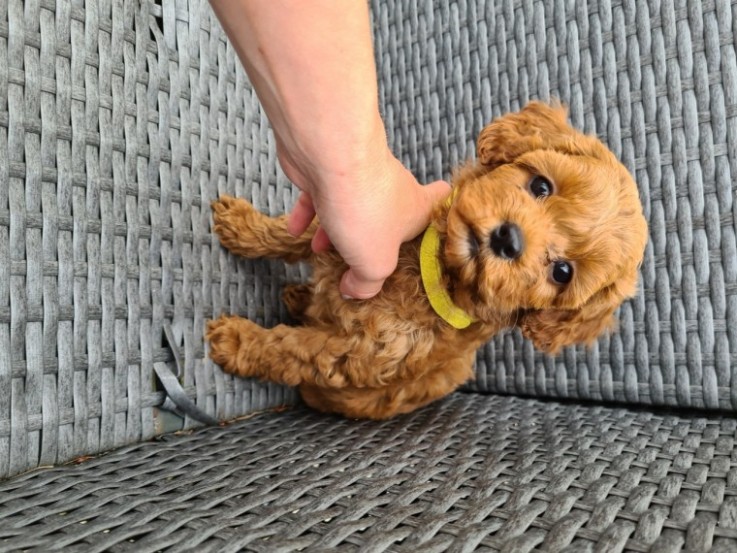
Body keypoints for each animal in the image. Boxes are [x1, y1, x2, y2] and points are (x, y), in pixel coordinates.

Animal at [206, 100, 644, 418]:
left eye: (562, 272)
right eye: (540, 185)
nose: (508, 239)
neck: (432, 270)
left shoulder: (360, 353)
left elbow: (291, 348)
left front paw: (237, 340)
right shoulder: (374, 223)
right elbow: (301, 233)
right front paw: (243, 226)